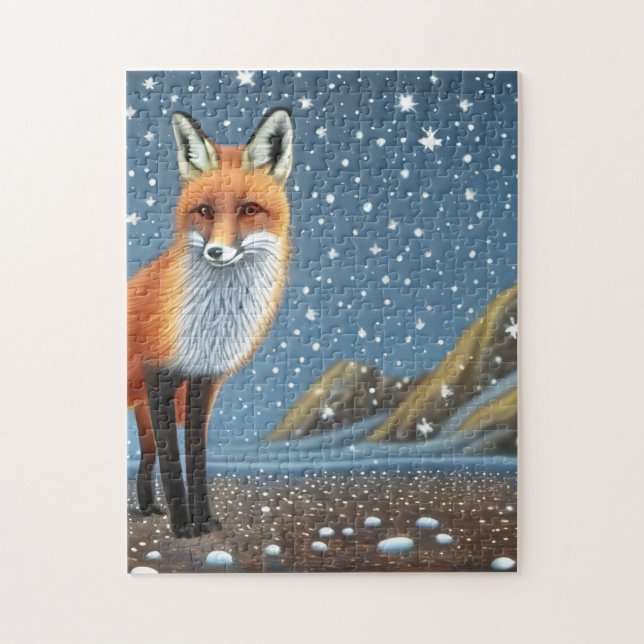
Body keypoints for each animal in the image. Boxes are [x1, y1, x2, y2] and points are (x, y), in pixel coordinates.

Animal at [128, 108, 293, 537]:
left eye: (249, 209)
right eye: (203, 211)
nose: (217, 251)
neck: (212, 323)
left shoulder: (202, 382)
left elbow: (196, 456)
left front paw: (203, 520)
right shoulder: (159, 377)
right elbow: (173, 462)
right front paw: (184, 527)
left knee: (145, 458)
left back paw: (147, 508)